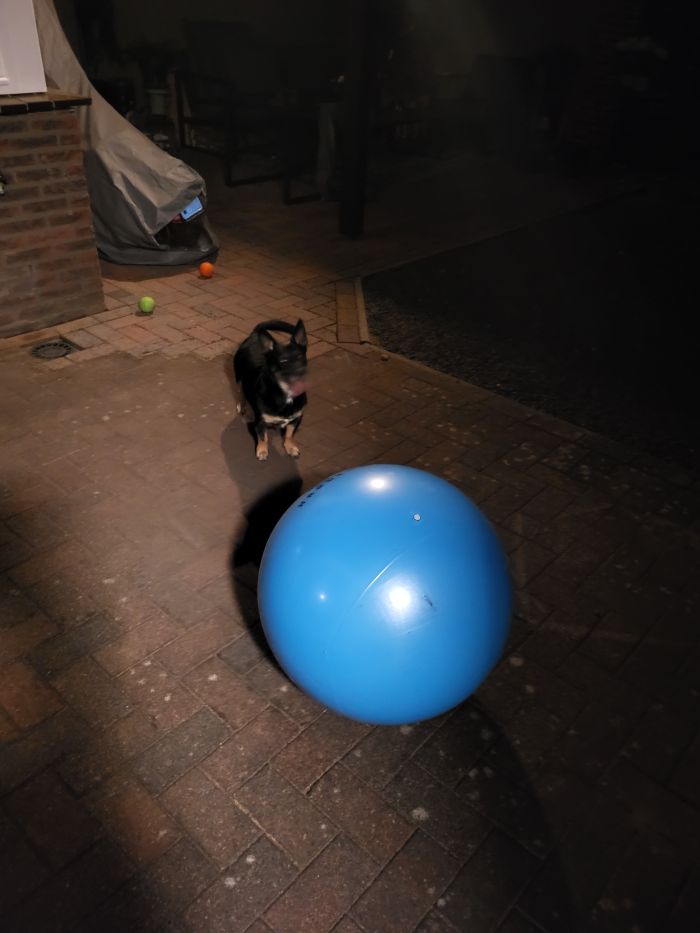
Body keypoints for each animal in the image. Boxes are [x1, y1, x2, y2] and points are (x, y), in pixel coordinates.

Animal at [233, 319, 308, 461]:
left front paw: (290, 447)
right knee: (241, 391)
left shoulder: (296, 419)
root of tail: (255, 334)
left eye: (301, 357)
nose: (301, 372)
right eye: (283, 361)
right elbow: (263, 438)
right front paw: (262, 450)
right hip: (238, 377)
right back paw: (242, 406)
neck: (286, 395)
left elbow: (289, 434)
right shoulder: (260, 423)